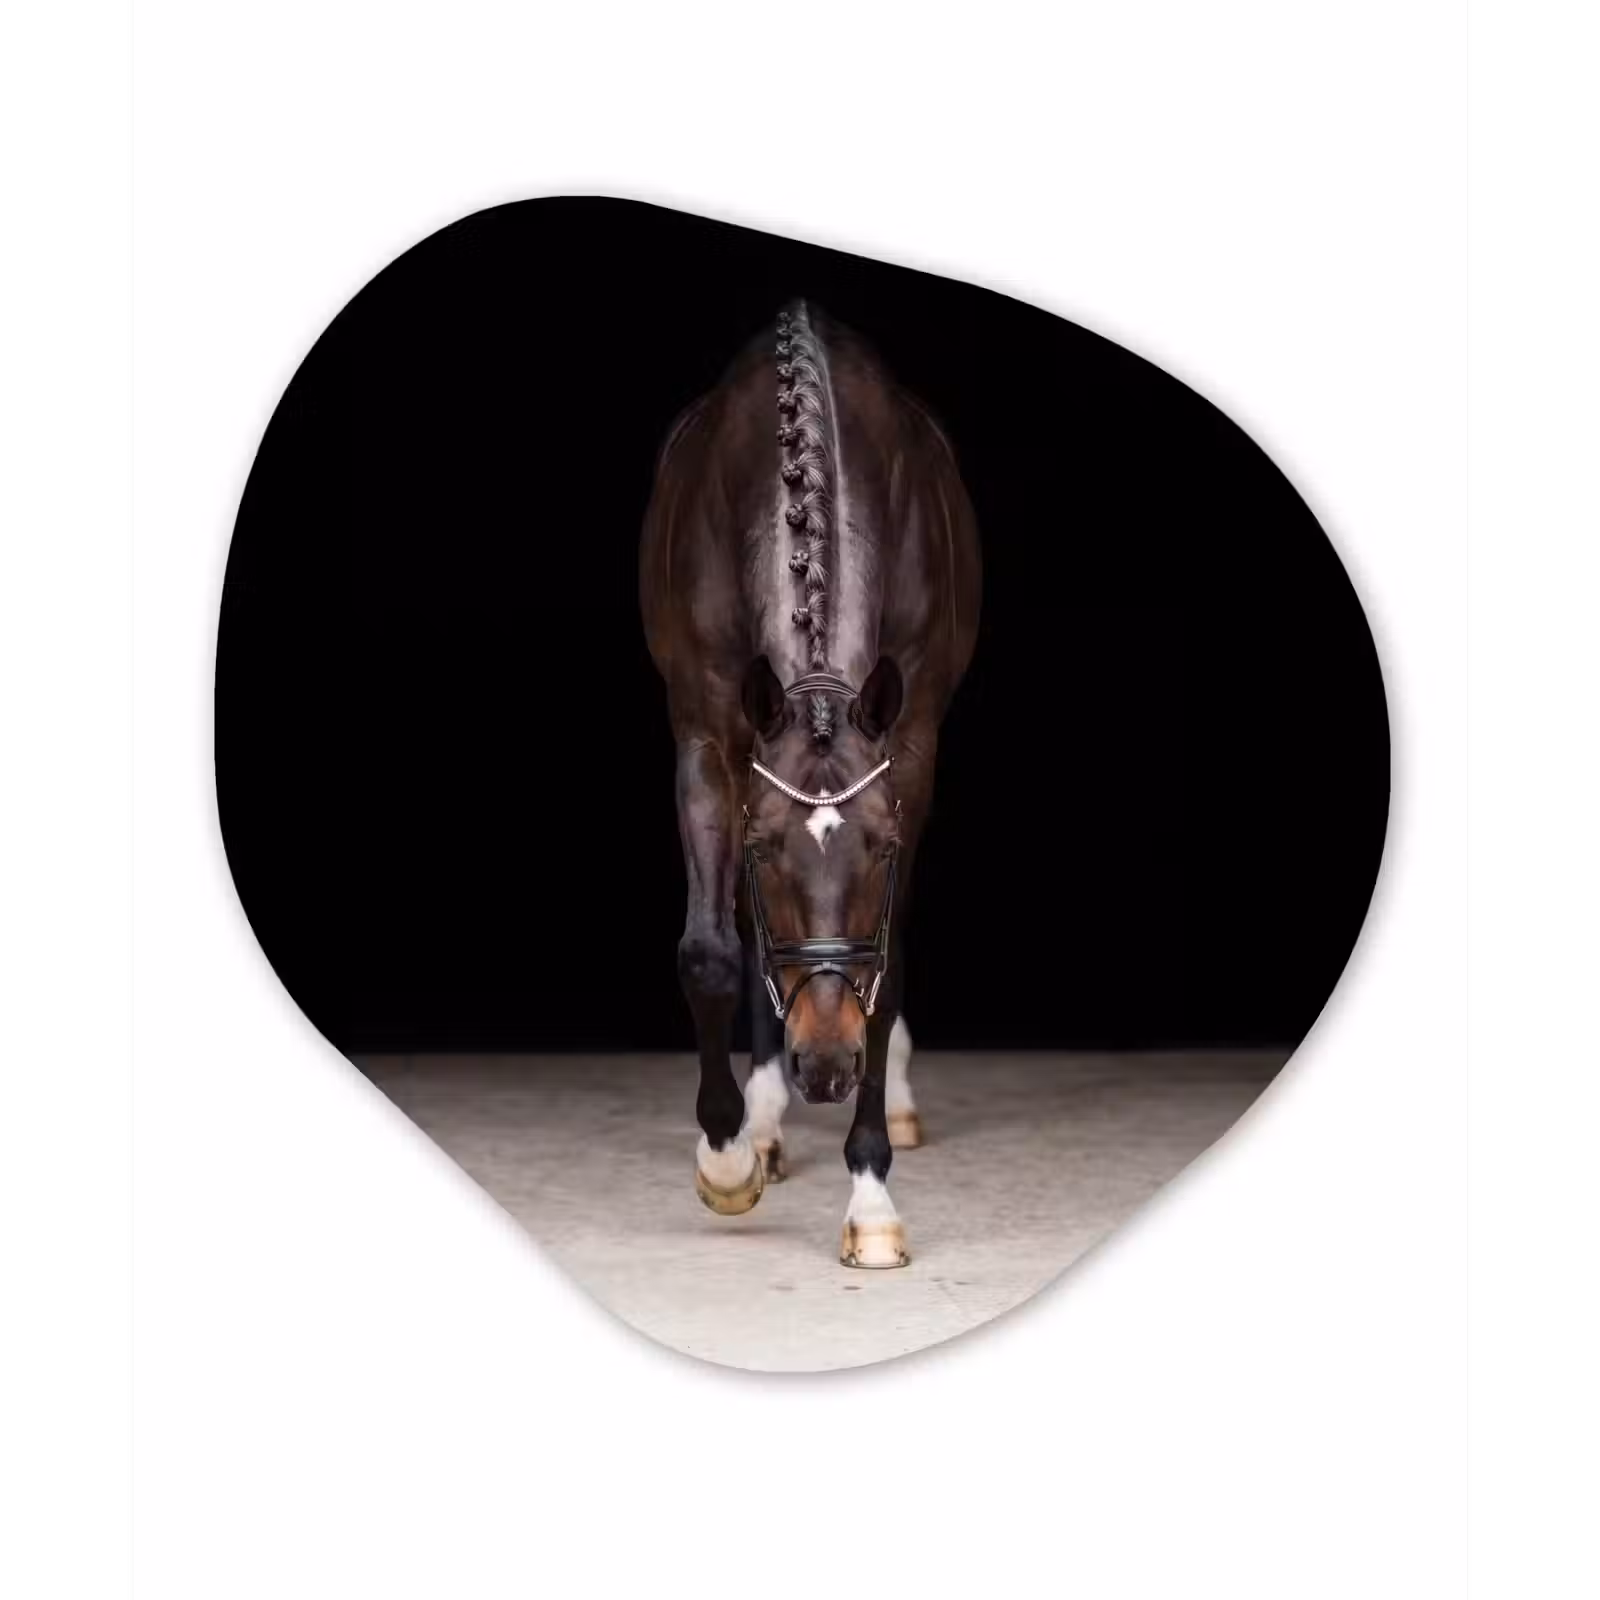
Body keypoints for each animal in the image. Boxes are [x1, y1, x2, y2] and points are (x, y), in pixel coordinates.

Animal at [640, 300, 981, 1268]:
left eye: (883, 848)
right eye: (763, 850)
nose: (826, 1065)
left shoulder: (912, 748)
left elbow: (885, 969)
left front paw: (870, 1199)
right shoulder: (707, 737)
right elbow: (713, 951)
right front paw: (726, 1158)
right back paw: (762, 1123)